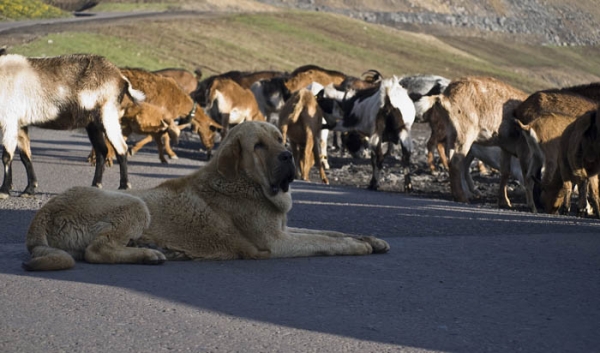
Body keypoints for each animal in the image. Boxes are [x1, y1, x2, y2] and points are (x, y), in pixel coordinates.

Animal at [22, 120, 390, 270]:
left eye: (280, 139)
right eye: (259, 146)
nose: (288, 156)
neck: (246, 182)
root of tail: (41, 216)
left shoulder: (285, 230)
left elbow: (330, 231)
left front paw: (370, 239)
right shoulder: (276, 242)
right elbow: (326, 241)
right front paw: (356, 246)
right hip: (134, 204)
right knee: (96, 251)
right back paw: (148, 255)